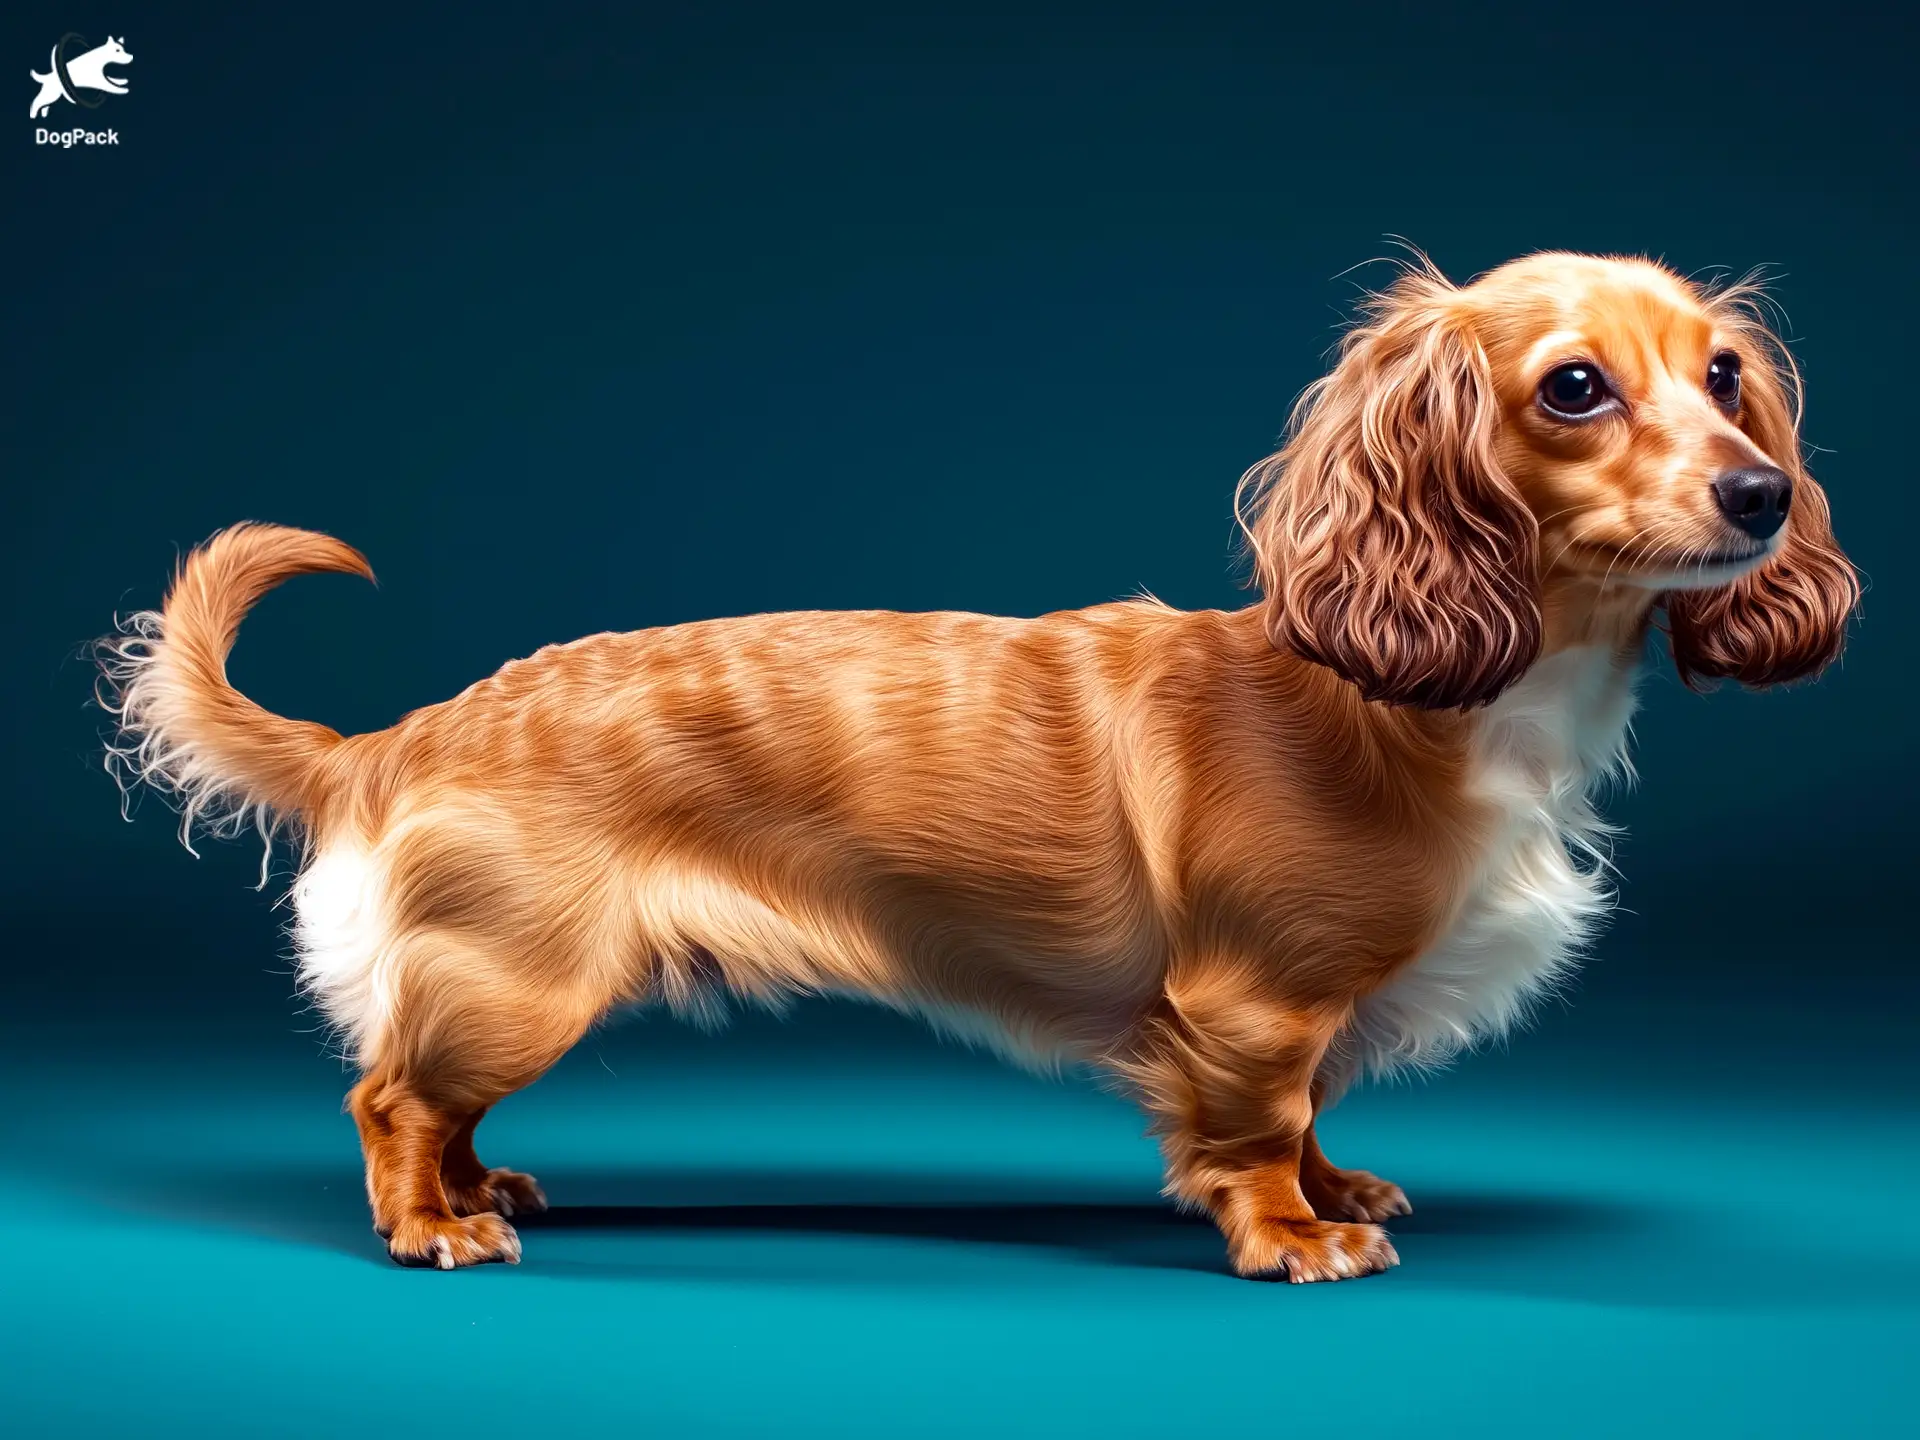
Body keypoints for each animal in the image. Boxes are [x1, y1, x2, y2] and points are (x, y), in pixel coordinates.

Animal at [101, 253, 1858, 1282]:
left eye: (1725, 376)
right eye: (1574, 386)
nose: (1765, 495)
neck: (1418, 695)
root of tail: (403, 737)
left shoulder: (1305, 1015)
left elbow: (1312, 1114)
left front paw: (1339, 1187)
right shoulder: (1255, 1004)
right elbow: (1257, 1124)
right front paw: (1293, 1233)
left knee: (432, 1096)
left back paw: (490, 1189)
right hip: (516, 979)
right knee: (391, 1094)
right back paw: (431, 1226)